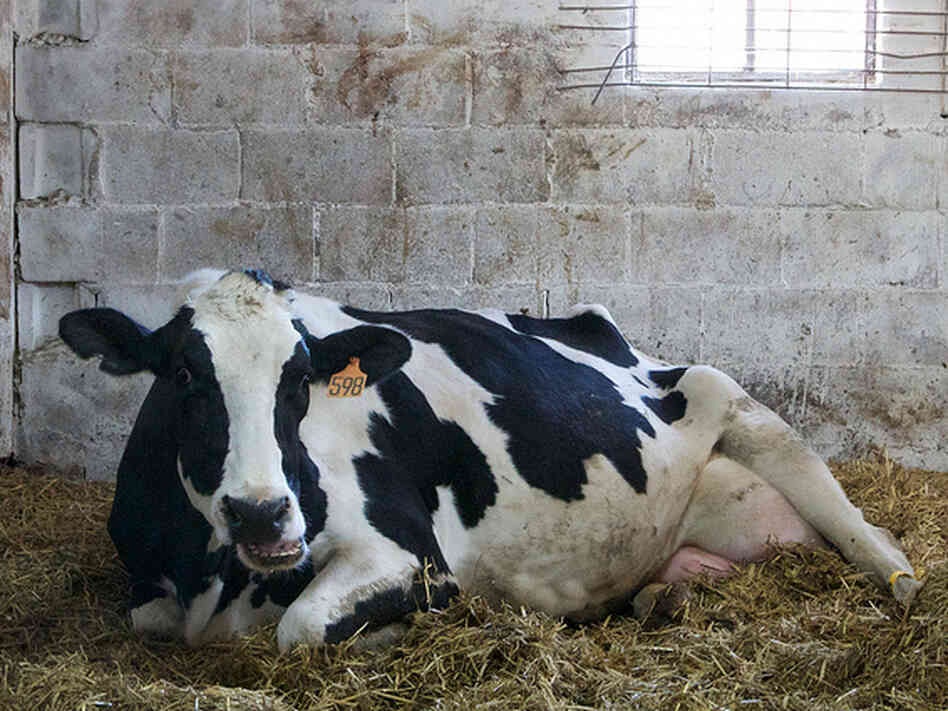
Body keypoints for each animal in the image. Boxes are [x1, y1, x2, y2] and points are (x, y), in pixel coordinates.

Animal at [58, 268, 921, 651]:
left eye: (299, 377)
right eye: (182, 376)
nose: (264, 513)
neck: (216, 577)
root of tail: (602, 328)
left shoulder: (412, 557)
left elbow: (301, 626)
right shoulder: (150, 588)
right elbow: (149, 617)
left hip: (725, 394)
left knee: (845, 509)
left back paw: (902, 579)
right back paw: (657, 599)